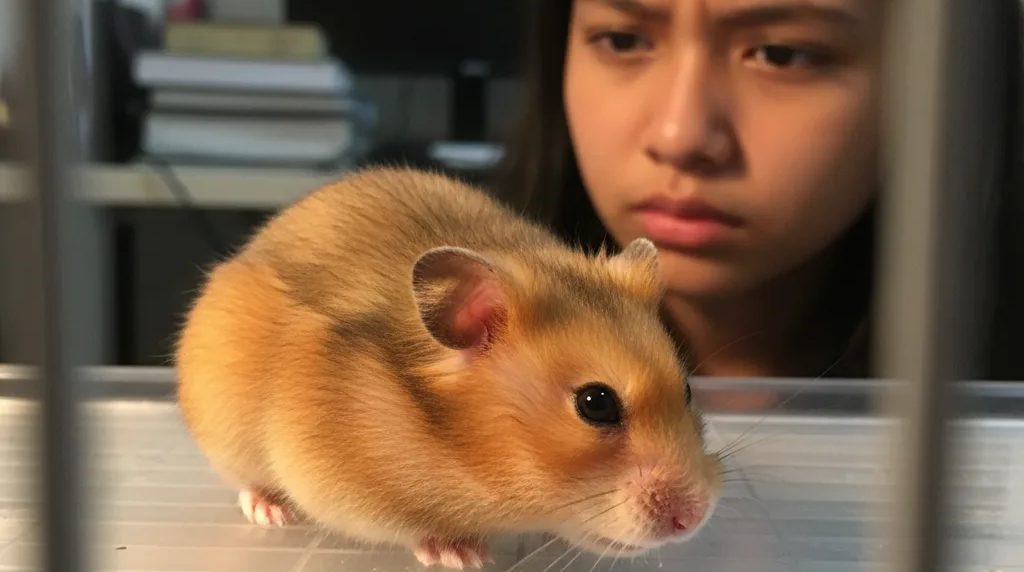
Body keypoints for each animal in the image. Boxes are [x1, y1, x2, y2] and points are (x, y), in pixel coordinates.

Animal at [174, 167, 722, 569]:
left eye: (688, 390)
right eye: (596, 404)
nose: (694, 520)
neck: (464, 458)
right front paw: (462, 555)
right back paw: (271, 511)